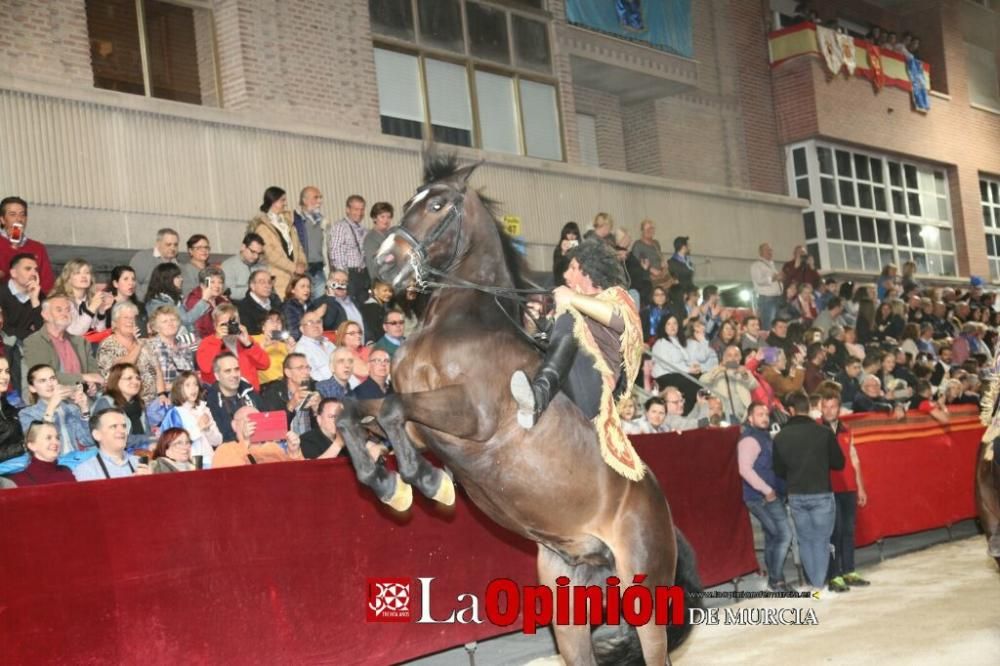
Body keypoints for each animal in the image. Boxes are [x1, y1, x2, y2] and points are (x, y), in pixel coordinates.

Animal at [336, 154, 704, 660]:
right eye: (410, 201)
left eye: (437, 204)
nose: (384, 262)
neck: (460, 322)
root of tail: (666, 518)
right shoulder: (420, 427)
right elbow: (351, 412)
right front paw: (389, 484)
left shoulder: (470, 415)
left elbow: (389, 408)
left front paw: (428, 483)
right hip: (569, 609)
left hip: (644, 599)